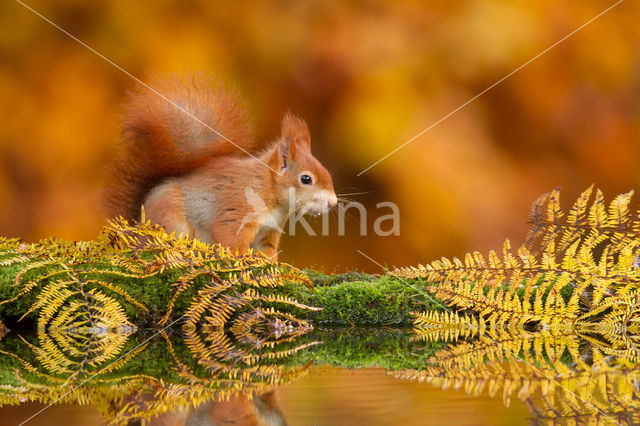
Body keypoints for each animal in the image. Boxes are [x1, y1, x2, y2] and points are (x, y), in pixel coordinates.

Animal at [102, 73, 338, 260]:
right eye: (306, 179)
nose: (333, 203)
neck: (269, 192)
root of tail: (136, 228)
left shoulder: (268, 232)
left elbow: (267, 253)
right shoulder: (237, 210)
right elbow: (231, 239)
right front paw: (242, 262)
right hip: (170, 218)